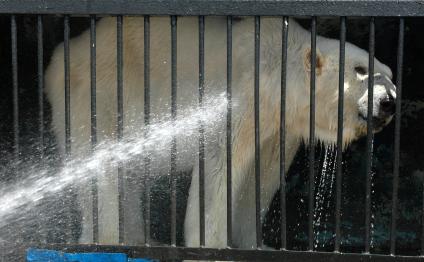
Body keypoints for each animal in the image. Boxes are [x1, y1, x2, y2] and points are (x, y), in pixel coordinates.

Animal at [44, 15, 396, 249]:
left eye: (391, 77)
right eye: (361, 70)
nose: (389, 103)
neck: (278, 70)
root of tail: (61, 54)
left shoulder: (279, 125)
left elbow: (260, 180)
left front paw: (255, 243)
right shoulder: (240, 97)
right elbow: (219, 168)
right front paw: (212, 244)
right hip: (99, 92)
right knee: (99, 168)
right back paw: (106, 239)